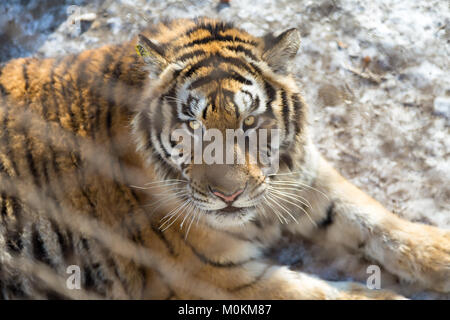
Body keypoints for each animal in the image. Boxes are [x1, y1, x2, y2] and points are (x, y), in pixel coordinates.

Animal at [0, 17, 448, 298]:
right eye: (193, 127)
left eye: (249, 121)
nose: (229, 196)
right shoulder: (213, 277)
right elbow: (318, 293)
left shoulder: (301, 178)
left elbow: (374, 218)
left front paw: (440, 253)